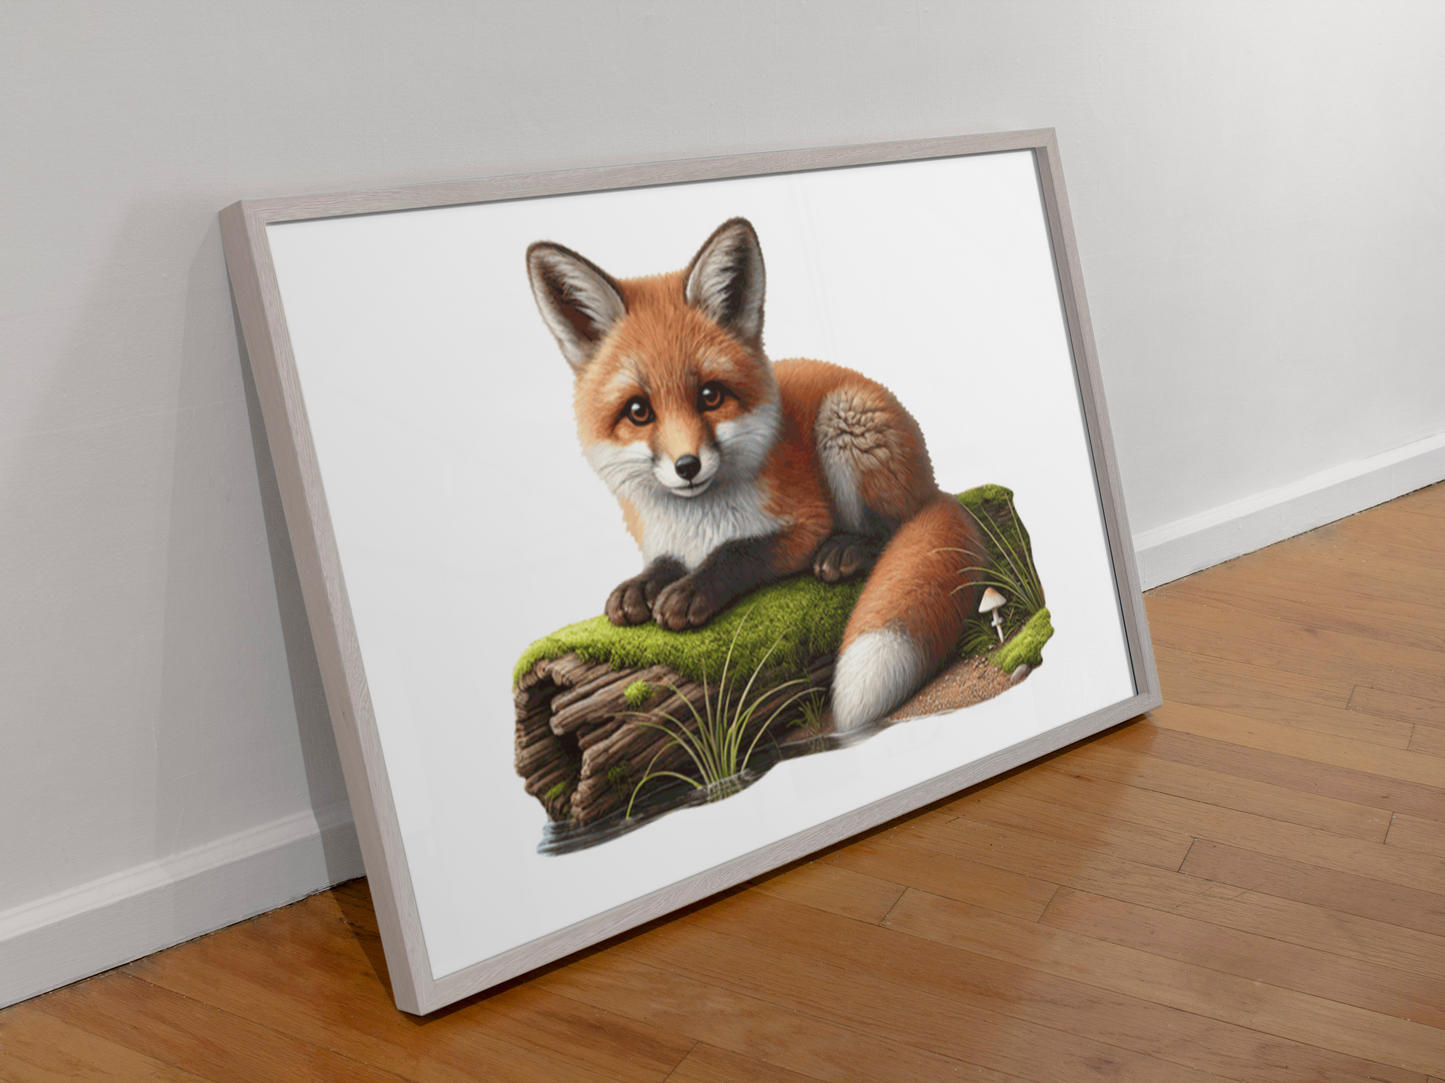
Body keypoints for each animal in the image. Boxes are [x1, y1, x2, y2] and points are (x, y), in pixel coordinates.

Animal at [526, 217, 985, 732]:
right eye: (638, 411)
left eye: (710, 396)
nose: (687, 467)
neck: (695, 521)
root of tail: (935, 484)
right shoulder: (665, 539)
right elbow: (662, 563)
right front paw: (641, 587)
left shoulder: (804, 523)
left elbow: (741, 551)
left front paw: (691, 590)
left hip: (845, 421)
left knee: (893, 527)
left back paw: (848, 550)